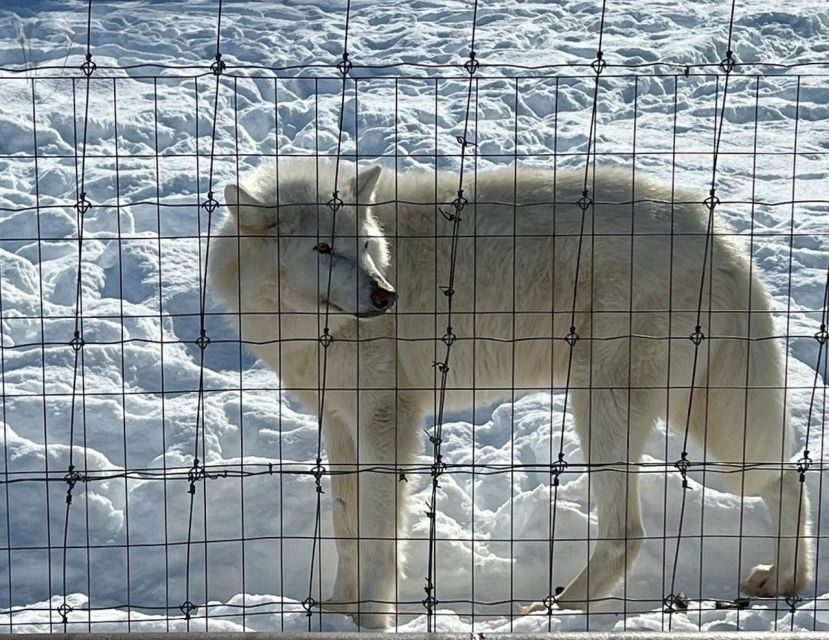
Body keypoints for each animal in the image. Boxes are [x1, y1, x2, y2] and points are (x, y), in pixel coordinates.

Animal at [207, 159, 808, 624]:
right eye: (323, 248)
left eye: (366, 245)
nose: (385, 295)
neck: (316, 332)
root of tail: (719, 234)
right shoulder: (338, 423)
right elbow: (345, 527)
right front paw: (336, 611)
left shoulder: (384, 421)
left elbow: (378, 538)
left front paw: (369, 622)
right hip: (696, 409)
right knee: (783, 477)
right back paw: (786, 581)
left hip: (604, 406)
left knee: (629, 532)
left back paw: (555, 611)